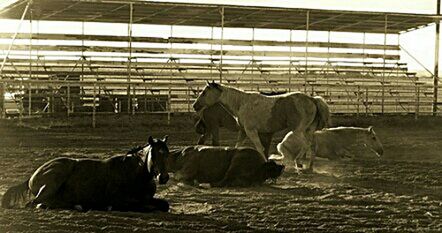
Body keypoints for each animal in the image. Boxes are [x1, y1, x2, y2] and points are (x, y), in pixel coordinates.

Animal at [1, 135, 170, 213]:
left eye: (167, 153)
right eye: (154, 154)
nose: (163, 177)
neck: (135, 174)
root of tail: (31, 177)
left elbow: (164, 205)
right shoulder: (119, 201)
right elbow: (141, 206)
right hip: (52, 183)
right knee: (34, 203)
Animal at [192, 82, 330, 171]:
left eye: (204, 92)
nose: (195, 105)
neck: (241, 103)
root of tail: (312, 100)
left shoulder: (251, 131)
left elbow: (259, 147)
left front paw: (265, 162)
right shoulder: (244, 131)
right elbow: (238, 146)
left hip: (298, 130)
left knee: (306, 144)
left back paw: (298, 162)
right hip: (308, 130)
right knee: (311, 146)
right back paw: (309, 167)